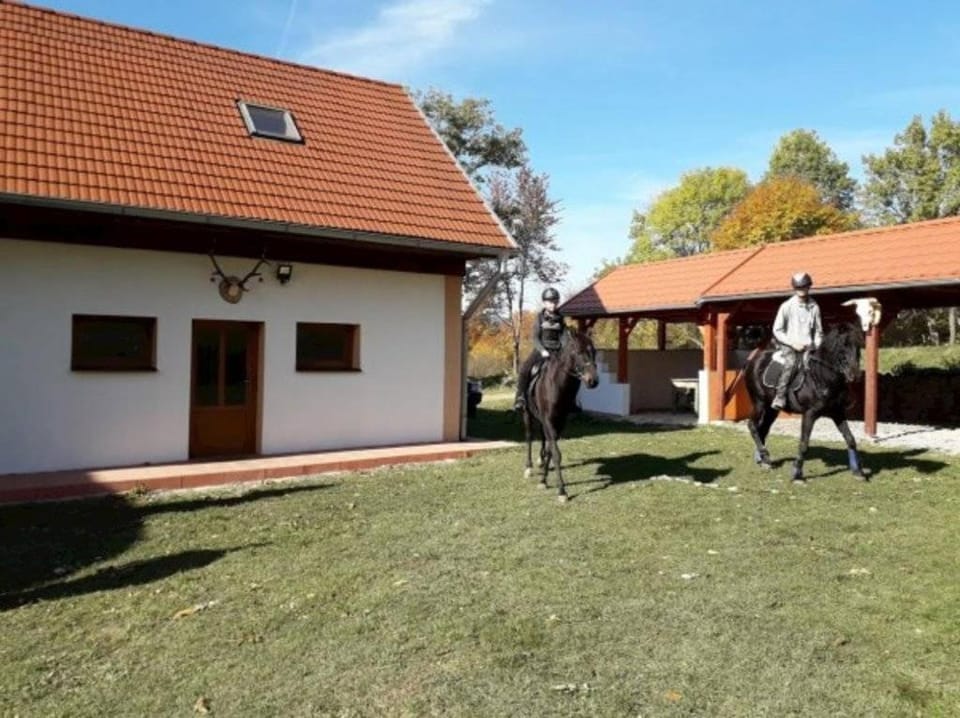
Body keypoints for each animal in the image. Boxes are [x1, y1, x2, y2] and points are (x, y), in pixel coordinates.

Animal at [521, 329, 600, 502]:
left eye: (594, 352)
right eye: (578, 352)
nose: (593, 381)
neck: (557, 386)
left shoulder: (560, 421)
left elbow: (551, 450)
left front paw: (544, 480)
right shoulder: (549, 420)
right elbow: (556, 453)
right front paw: (562, 491)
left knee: (543, 438)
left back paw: (541, 460)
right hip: (527, 414)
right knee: (529, 437)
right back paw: (528, 467)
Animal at [744, 319, 867, 483]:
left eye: (858, 345)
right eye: (842, 345)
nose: (855, 374)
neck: (822, 378)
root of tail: (752, 360)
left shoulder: (837, 413)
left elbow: (850, 439)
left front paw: (858, 471)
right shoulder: (810, 414)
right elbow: (804, 443)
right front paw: (797, 474)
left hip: (772, 409)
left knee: (762, 429)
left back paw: (764, 459)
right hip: (759, 403)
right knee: (752, 426)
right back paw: (764, 456)